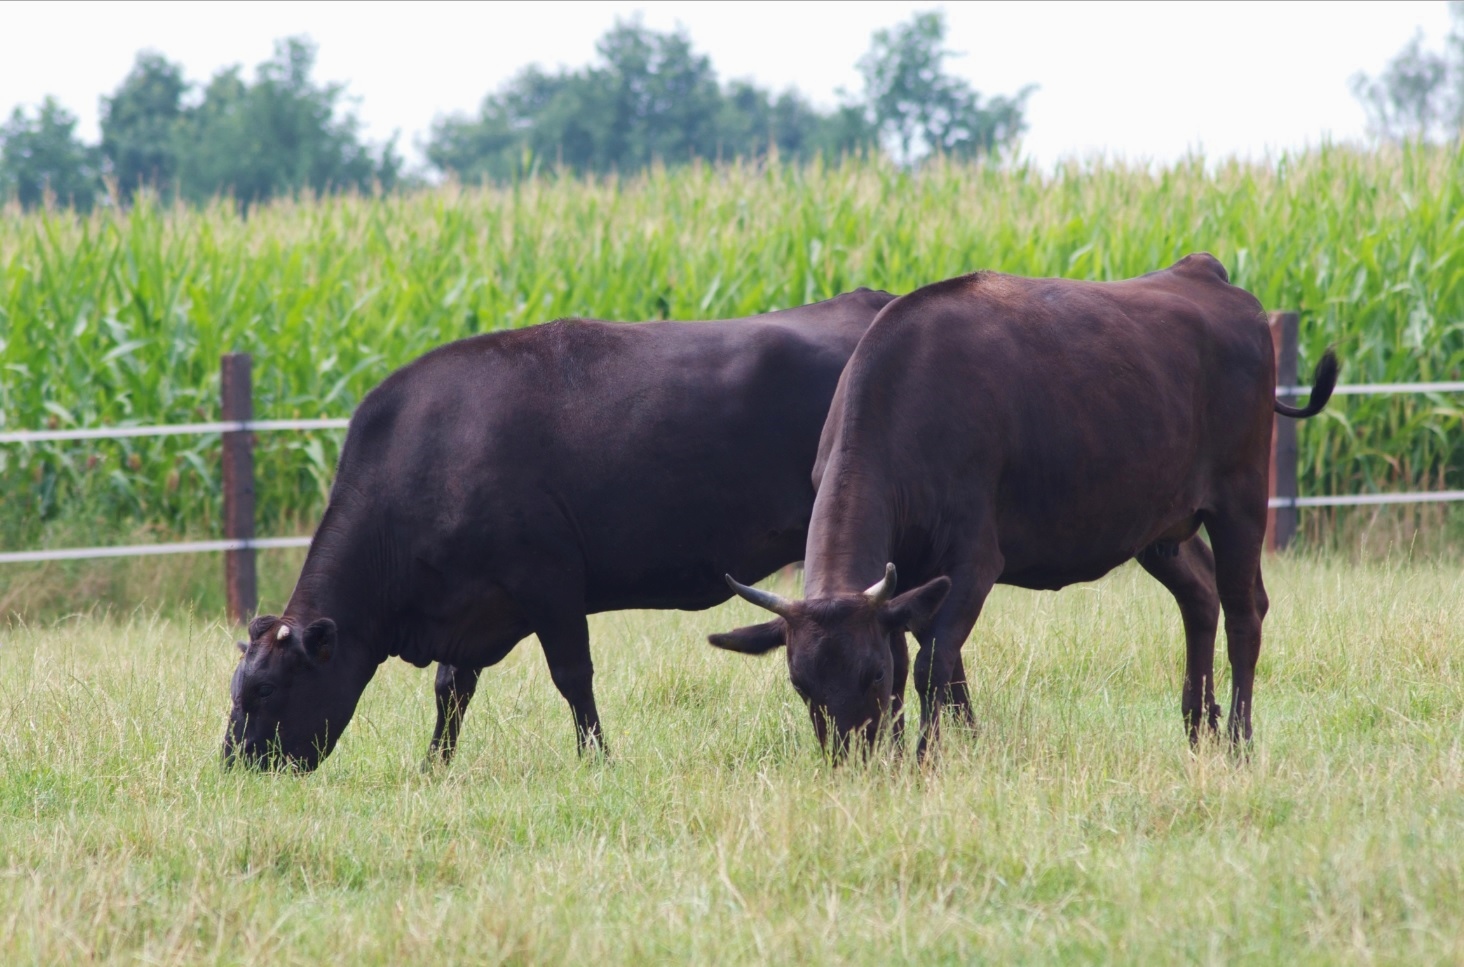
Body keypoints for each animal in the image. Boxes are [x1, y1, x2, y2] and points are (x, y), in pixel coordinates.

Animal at [708, 253, 1341, 760]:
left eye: (871, 673)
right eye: (801, 684)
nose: (852, 761)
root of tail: (1203, 270)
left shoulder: (973, 561)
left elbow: (935, 663)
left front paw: (925, 758)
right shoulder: (905, 578)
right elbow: (927, 660)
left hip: (1240, 498)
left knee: (1244, 612)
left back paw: (1237, 739)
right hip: (1157, 523)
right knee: (1201, 598)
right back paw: (1197, 727)